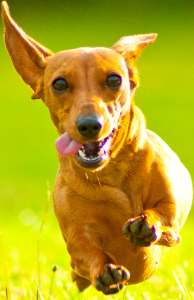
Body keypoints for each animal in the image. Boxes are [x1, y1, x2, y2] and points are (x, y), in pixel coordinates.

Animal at [1, 1, 192, 294]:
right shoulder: (77, 238)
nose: (90, 125)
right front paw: (106, 270)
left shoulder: (170, 214)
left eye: (114, 80)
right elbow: (87, 252)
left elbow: (162, 214)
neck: (110, 175)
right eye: (59, 84)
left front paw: (144, 224)